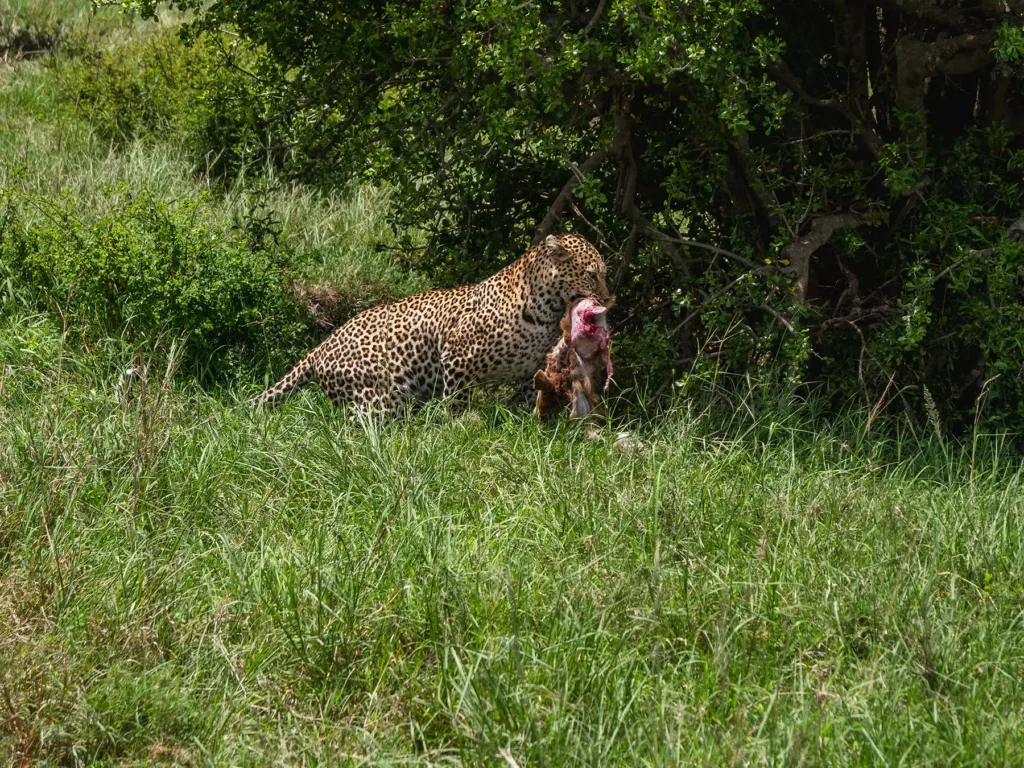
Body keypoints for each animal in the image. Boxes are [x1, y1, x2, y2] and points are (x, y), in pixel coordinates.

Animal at [254, 233, 611, 413]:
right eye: (591, 274)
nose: (609, 300)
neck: (545, 310)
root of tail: (319, 348)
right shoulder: (458, 358)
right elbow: (457, 402)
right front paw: (460, 429)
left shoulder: (531, 369)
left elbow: (532, 396)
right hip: (380, 396)